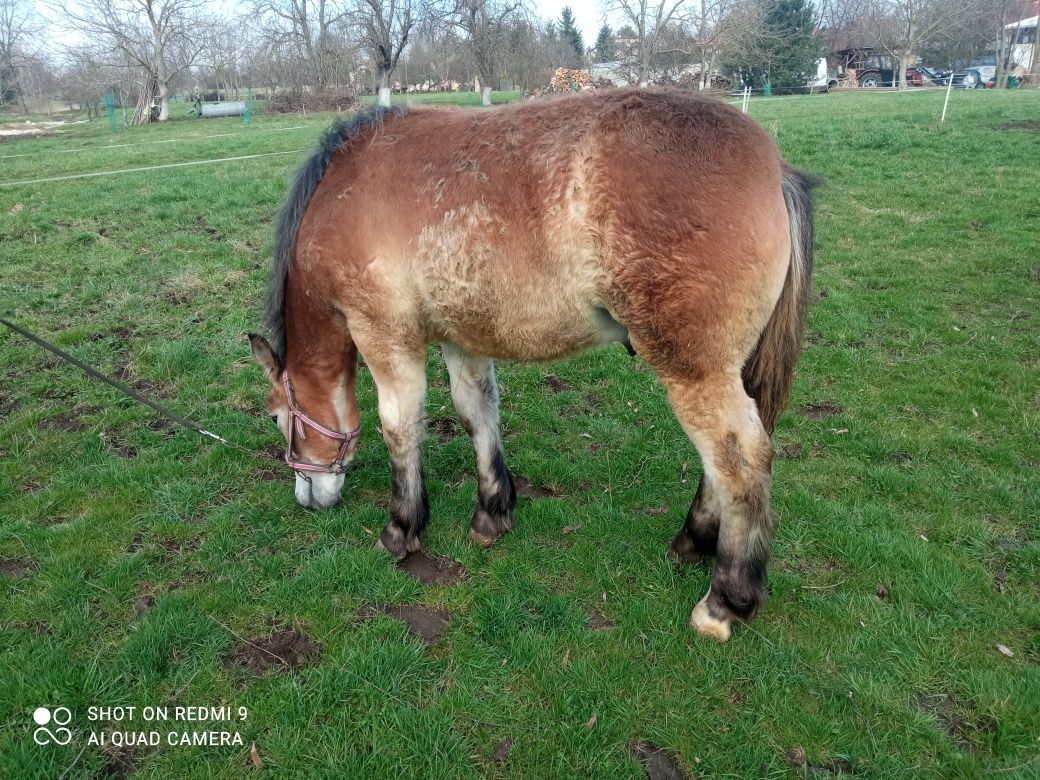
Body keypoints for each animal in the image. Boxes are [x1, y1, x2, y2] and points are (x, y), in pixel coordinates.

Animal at [247, 88, 815, 644]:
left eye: (277, 417)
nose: (306, 497)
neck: (342, 191)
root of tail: (776, 168)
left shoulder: (383, 335)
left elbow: (400, 428)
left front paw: (402, 528)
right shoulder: (462, 333)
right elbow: (477, 413)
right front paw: (492, 511)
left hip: (696, 370)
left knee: (738, 463)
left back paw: (724, 601)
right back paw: (692, 542)